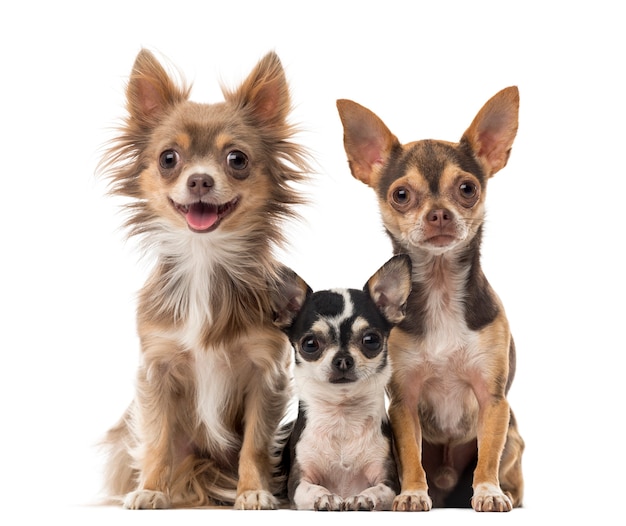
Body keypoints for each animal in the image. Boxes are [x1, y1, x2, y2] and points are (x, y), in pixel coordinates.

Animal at [280, 256, 412, 512]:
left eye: (371, 340)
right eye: (310, 344)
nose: (342, 359)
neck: (342, 414)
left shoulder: (389, 480)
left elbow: (379, 490)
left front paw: (363, 497)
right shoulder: (298, 481)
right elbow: (310, 489)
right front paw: (325, 496)